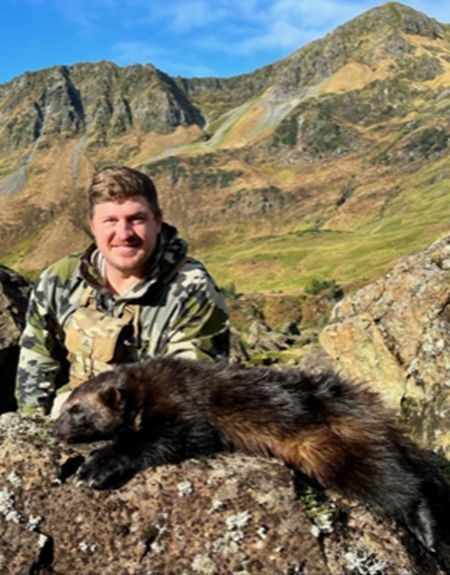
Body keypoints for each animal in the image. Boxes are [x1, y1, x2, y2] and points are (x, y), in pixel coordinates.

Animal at [53, 358, 450, 569]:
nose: (57, 428)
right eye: (64, 405)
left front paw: (95, 467)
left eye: (77, 410)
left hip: (335, 450)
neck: (145, 386)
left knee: (400, 484)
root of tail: (373, 413)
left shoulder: (182, 407)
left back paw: (428, 531)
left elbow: (164, 438)